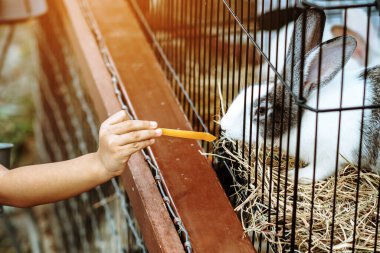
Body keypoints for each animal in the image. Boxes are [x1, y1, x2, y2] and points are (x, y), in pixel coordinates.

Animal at [221, 9, 378, 184]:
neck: (302, 119)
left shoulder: (332, 156)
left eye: (261, 110)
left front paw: (294, 175)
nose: (223, 126)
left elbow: (318, 171)